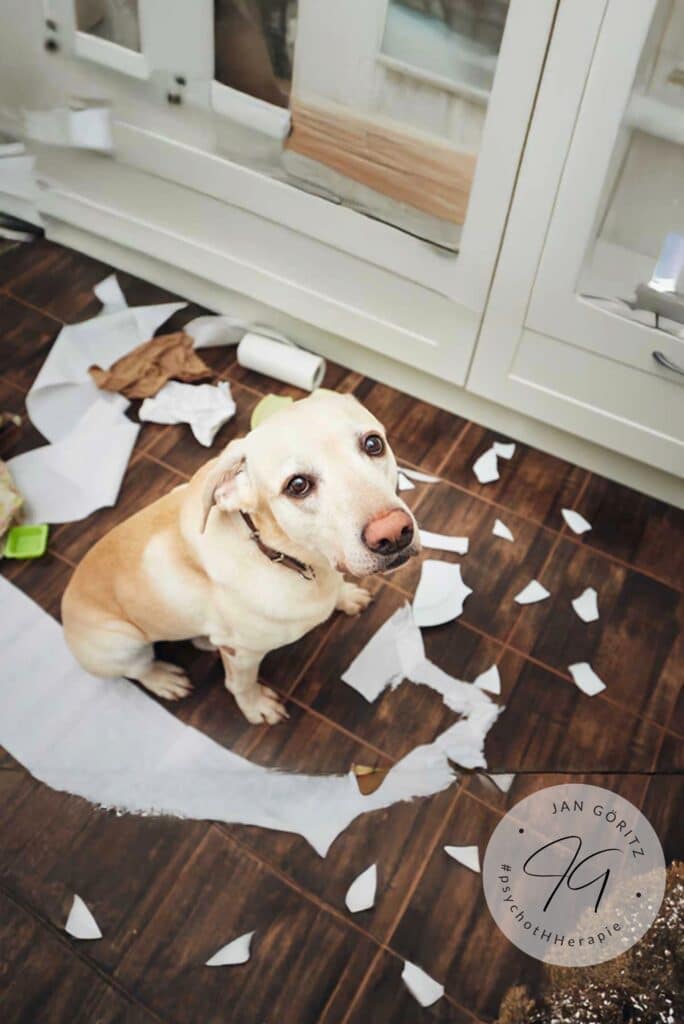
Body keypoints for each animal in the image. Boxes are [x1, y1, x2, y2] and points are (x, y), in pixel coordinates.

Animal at [61, 389, 419, 720]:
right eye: (298, 485)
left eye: (373, 444)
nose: (393, 534)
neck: (280, 555)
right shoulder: (242, 654)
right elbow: (240, 684)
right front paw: (256, 707)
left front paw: (346, 596)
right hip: (122, 644)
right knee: (138, 670)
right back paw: (163, 679)